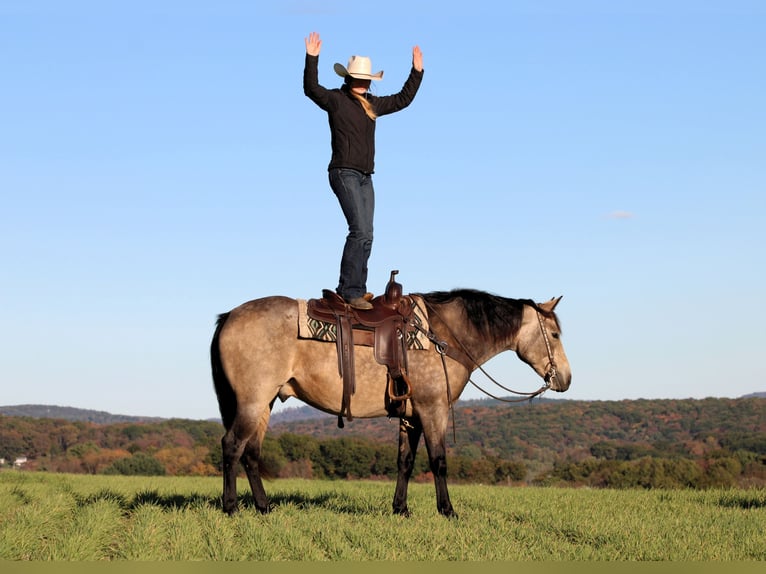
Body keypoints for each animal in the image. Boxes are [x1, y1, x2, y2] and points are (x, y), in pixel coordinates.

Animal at [210, 288, 571, 517]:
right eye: (554, 335)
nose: (565, 379)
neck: (444, 336)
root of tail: (228, 317)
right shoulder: (433, 409)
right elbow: (438, 460)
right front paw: (448, 511)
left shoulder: (411, 415)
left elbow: (405, 462)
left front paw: (401, 509)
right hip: (252, 402)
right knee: (232, 445)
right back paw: (231, 507)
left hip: (264, 404)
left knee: (251, 452)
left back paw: (263, 507)